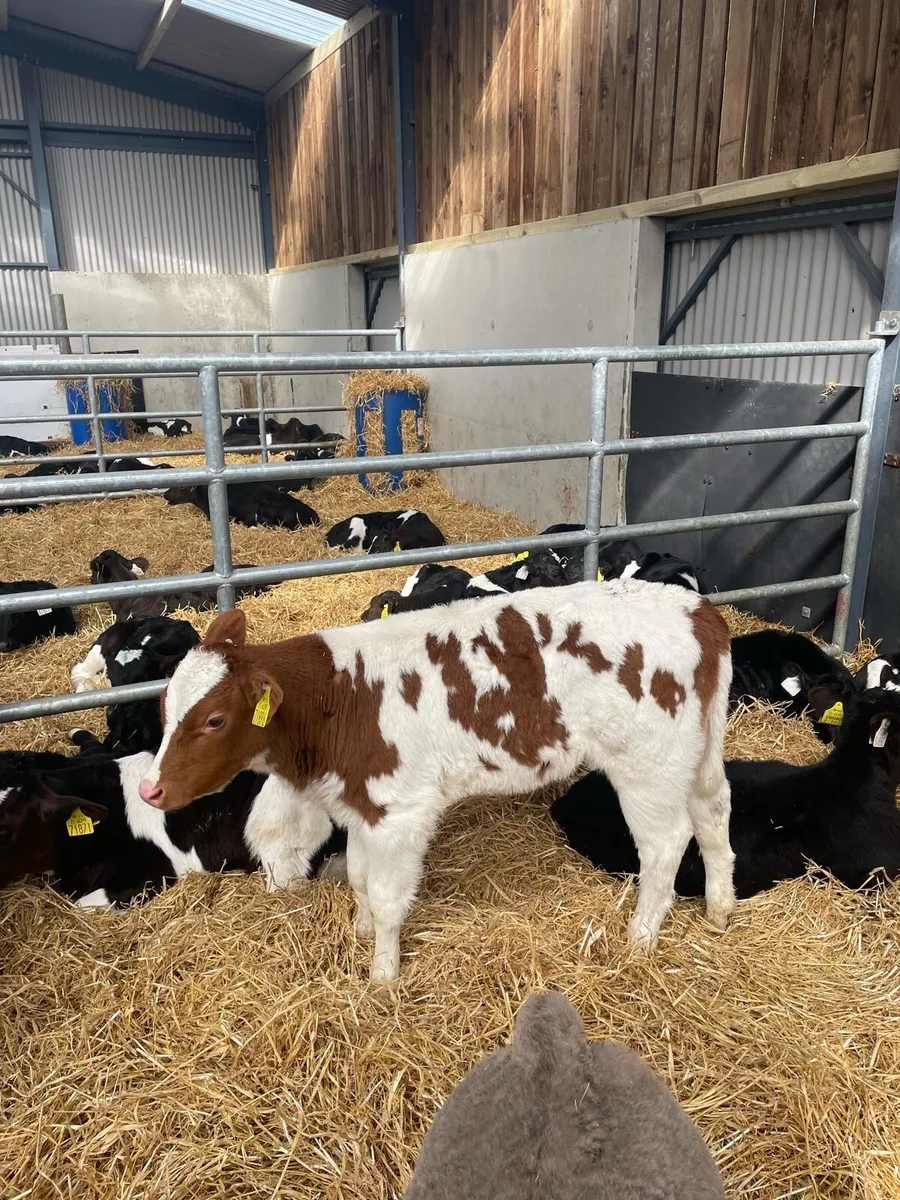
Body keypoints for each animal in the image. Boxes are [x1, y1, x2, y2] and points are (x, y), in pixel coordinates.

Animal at [137, 581, 735, 982]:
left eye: (215, 720)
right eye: (164, 705)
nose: (151, 790)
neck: (337, 699)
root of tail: (698, 610)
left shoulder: (401, 809)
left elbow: (386, 897)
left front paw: (382, 976)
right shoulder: (363, 803)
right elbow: (359, 878)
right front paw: (361, 931)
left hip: (646, 766)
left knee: (666, 844)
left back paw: (641, 938)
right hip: (696, 754)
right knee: (713, 814)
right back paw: (719, 910)